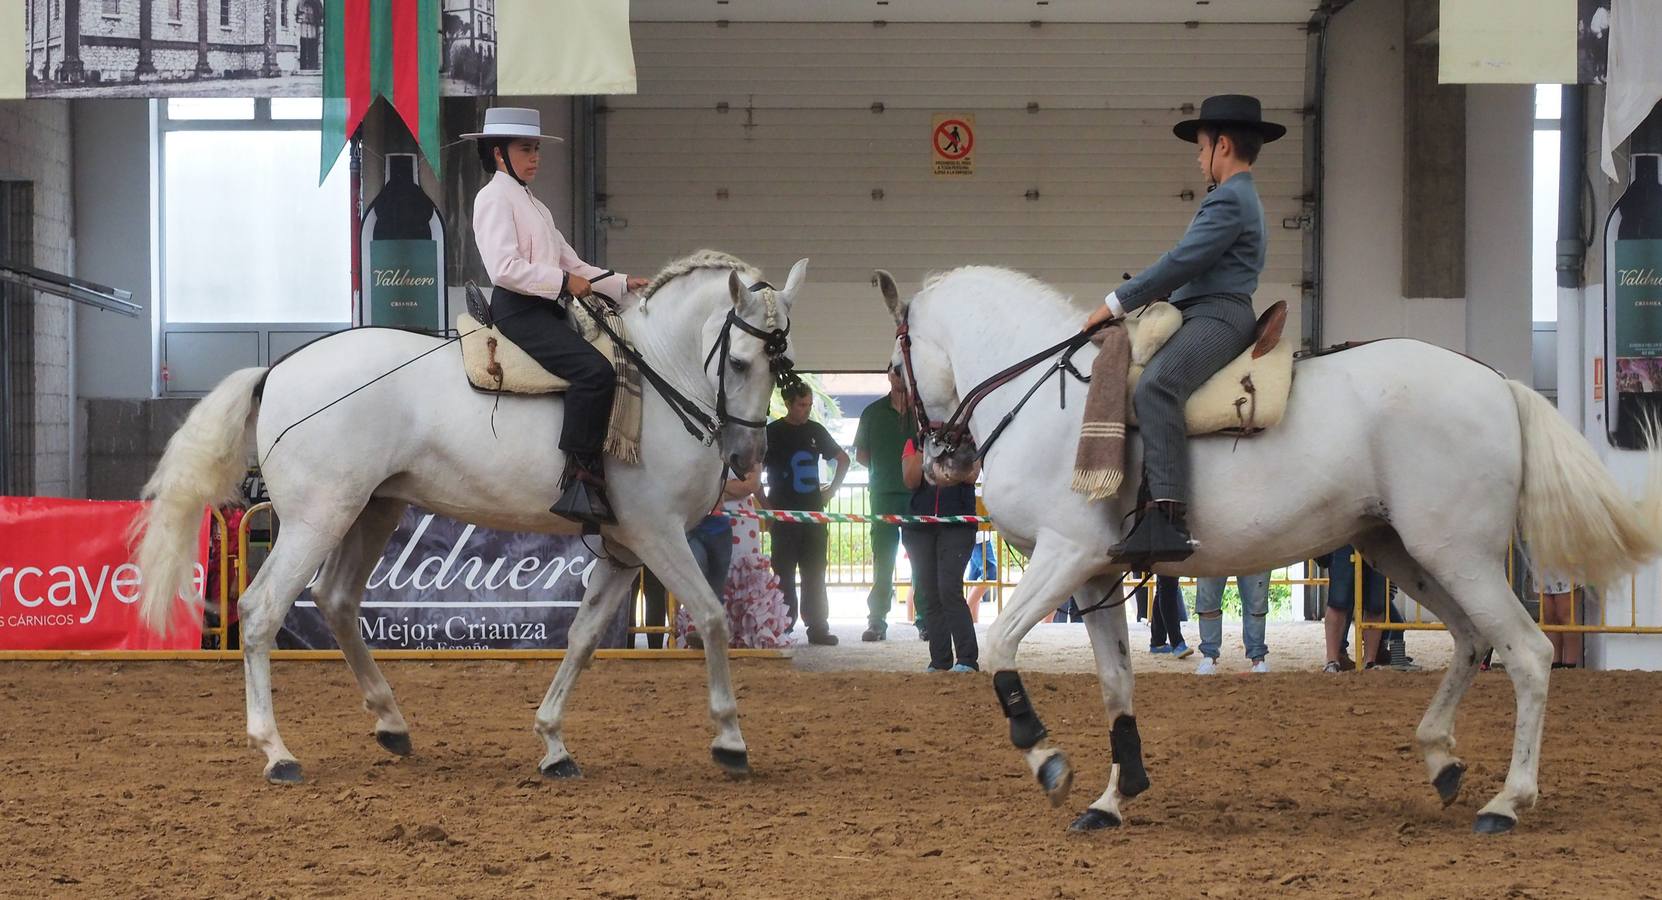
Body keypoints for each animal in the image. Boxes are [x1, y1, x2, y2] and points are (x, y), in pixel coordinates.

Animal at [132, 252, 807, 783]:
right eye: (739, 362)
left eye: (781, 363)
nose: (745, 457)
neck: (659, 376)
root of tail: (276, 370)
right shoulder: (658, 534)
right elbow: (714, 618)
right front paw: (730, 741)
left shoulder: (624, 548)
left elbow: (584, 637)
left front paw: (553, 743)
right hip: (317, 518)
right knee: (262, 609)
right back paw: (276, 753)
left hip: (372, 511)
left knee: (337, 601)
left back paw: (392, 724)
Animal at [877, 269, 1655, 840]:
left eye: (892, 370)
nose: (939, 461)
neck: (1046, 402)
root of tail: (1496, 382)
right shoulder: (1096, 574)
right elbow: (1116, 686)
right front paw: (1112, 798)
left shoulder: (1066, 556)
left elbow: (999, 648)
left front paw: (1046, 758)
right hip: (1408, 554)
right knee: (1471, 641)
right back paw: (1442, 760)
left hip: (1457, 553)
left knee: (1526, 653)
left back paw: (1506, 802)